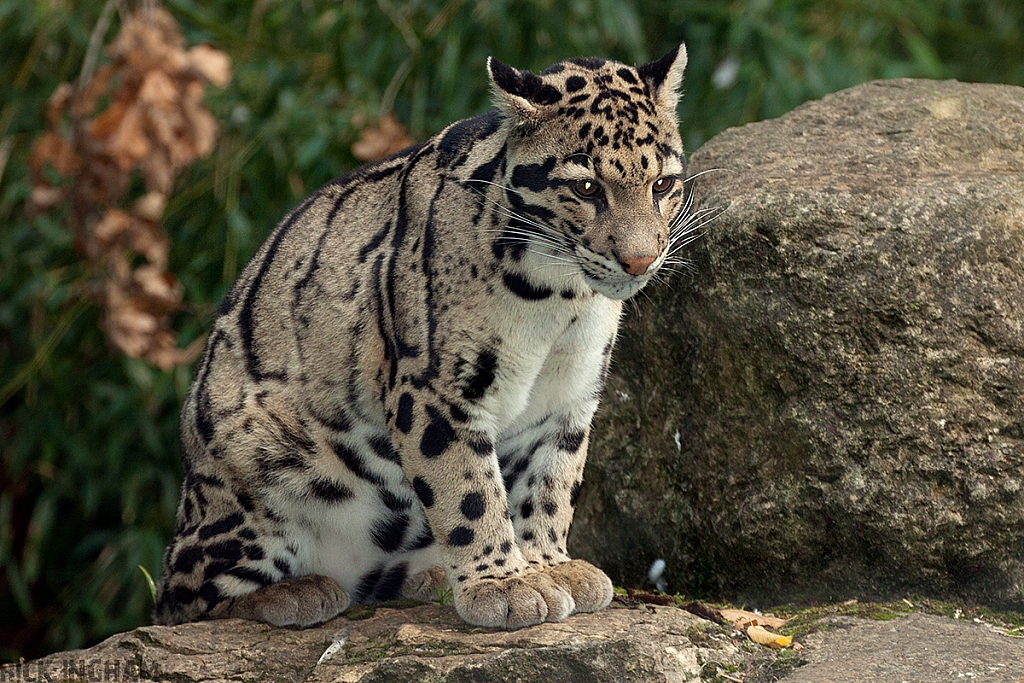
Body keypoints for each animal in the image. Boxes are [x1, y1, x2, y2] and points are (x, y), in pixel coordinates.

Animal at [153, 44, 696, 630]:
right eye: (587, 187)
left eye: (662, 185)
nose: (641, 260)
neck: (559, 298)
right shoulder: (436, 391)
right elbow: (469, 492)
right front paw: (504, 585)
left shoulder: (569, 395)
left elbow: (552, 484)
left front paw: (548, 565)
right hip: (256, 466)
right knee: (181, 595)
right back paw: (296, 592)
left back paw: (422, 578)